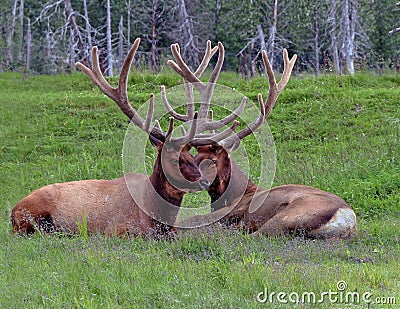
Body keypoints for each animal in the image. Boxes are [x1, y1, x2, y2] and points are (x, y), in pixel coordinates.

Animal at [172, 44, 356, 238]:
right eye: (195, 158)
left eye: (213, 160)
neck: (236, 194)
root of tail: (346, 217)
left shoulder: (234, 210)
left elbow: (194, 218)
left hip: (290, 214)